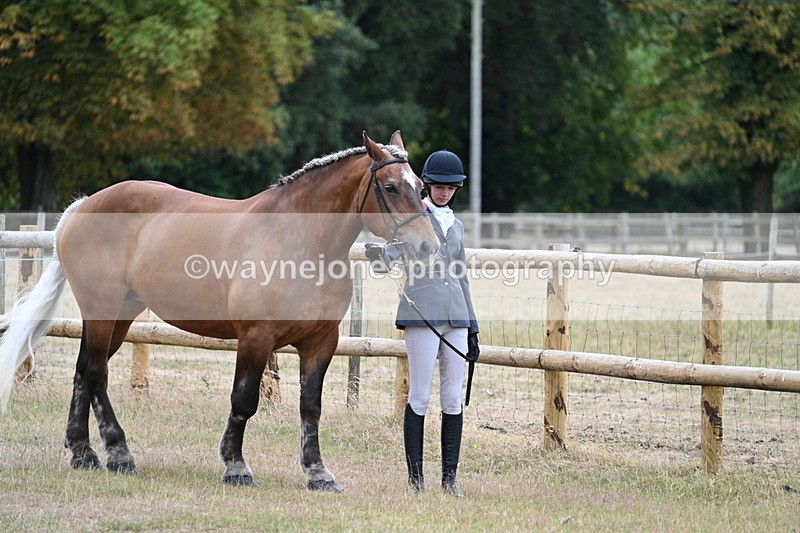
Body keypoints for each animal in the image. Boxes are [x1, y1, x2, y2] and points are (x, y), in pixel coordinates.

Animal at [0, 131, 439, 492]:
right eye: (390, 187)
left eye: (421, 187)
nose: (427, 247)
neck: (299, 240)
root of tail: (82, 207)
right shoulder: (256, 337)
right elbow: (243, 401)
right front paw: (236, 467)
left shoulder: (321, 342)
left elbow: (310, 407)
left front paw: (318, 473)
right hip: (102, 309)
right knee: (95, 373)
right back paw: (119, 453)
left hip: (119, 316)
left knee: (83, 371)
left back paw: (83, 452)